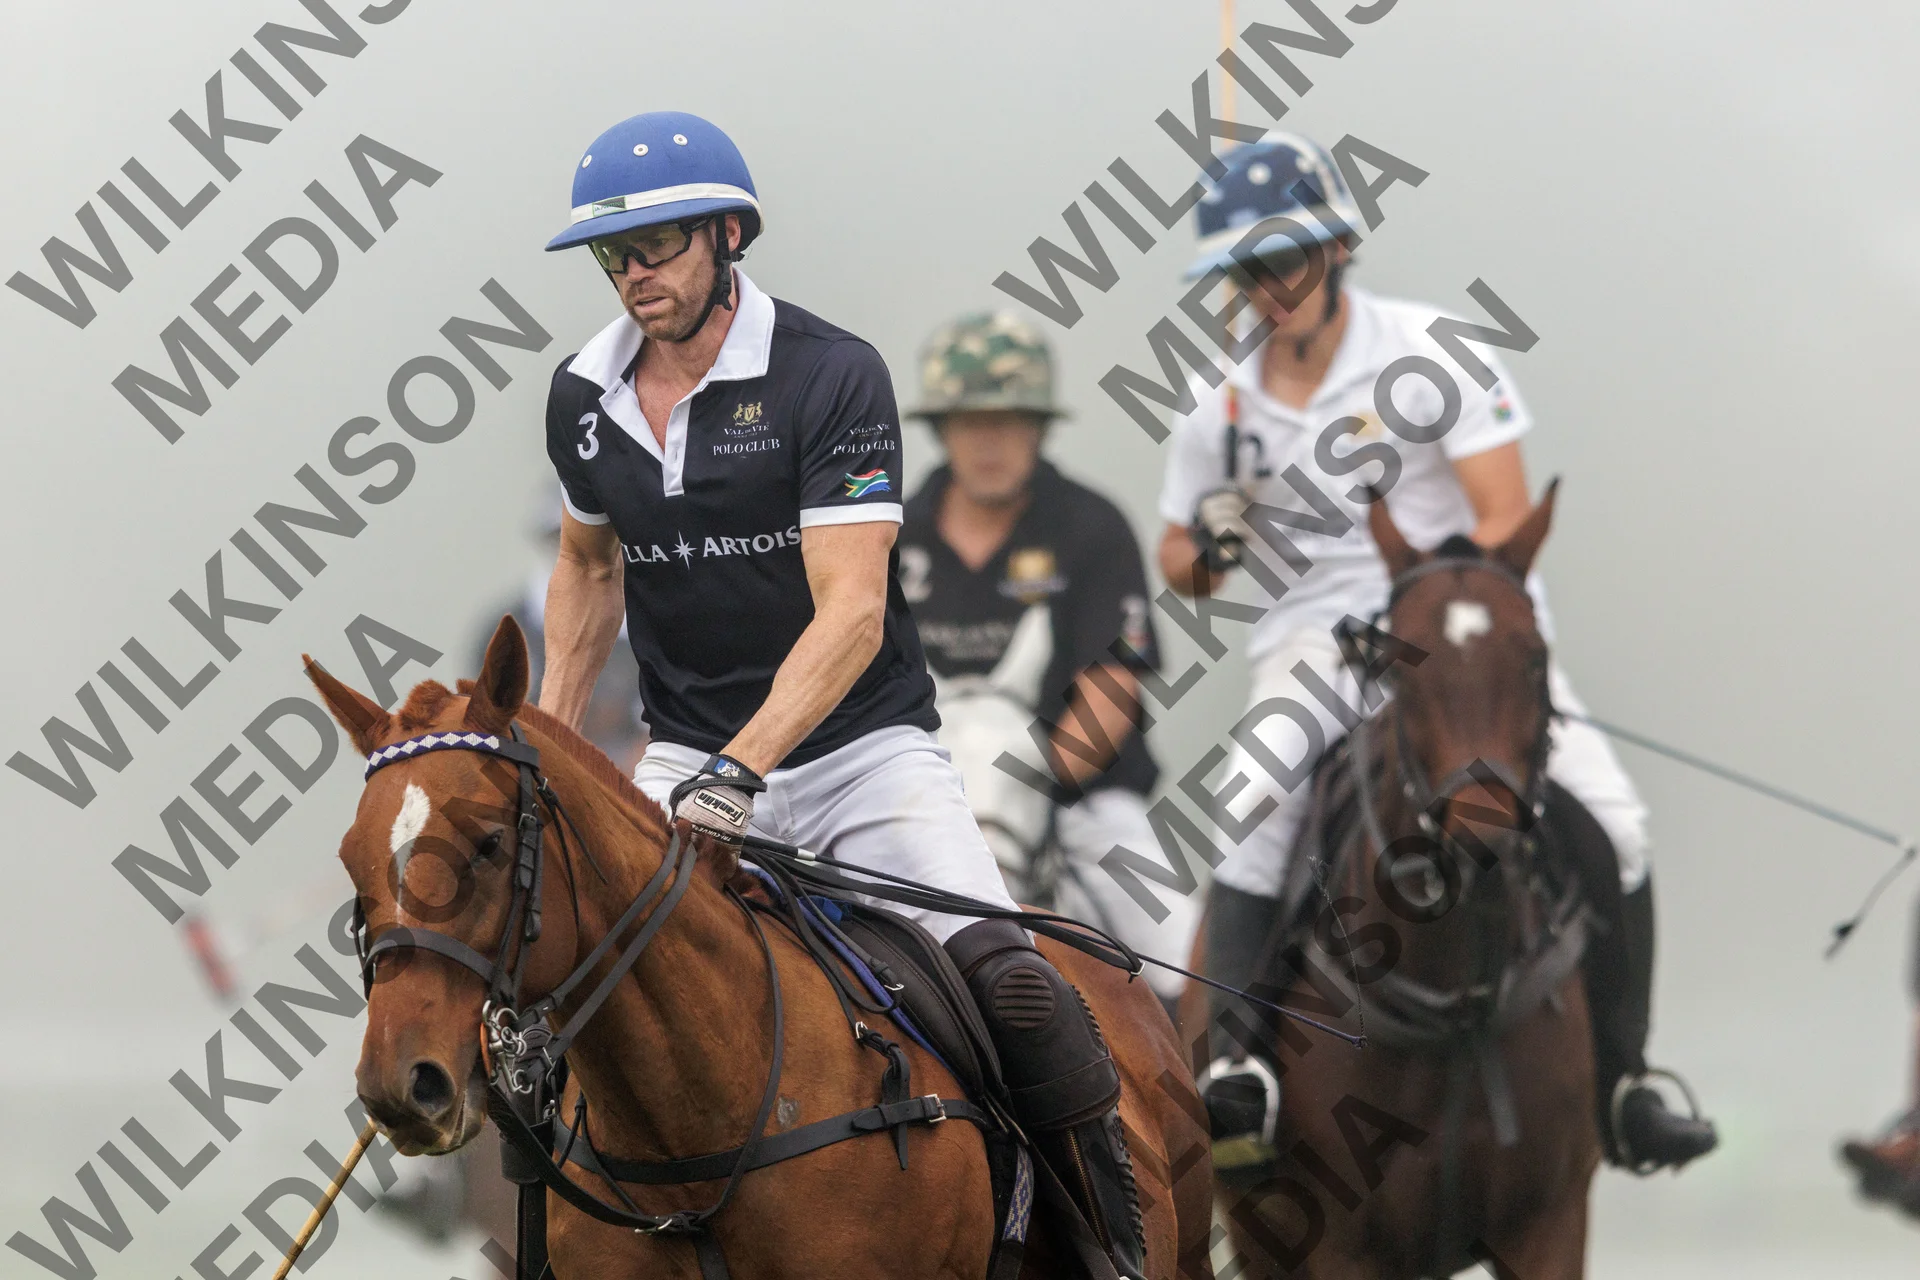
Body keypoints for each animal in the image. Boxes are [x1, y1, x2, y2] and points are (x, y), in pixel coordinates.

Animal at [1220, 484, 1603, 1279]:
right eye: (1399, 667)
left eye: (1535, 658)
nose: (1484, 838)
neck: (1456, 1003)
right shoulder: (1343, 1245)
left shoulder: (1550, 1224)